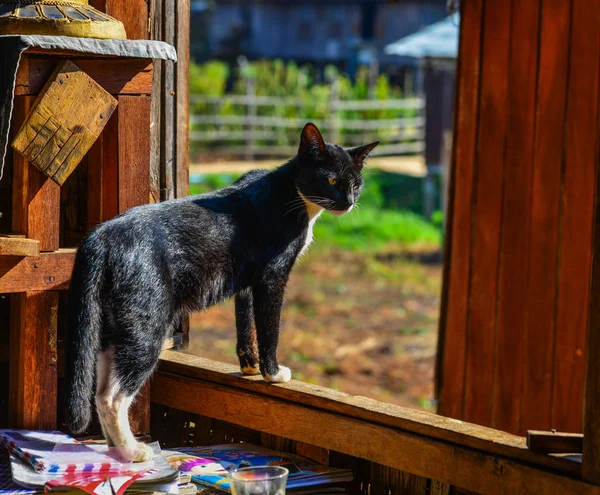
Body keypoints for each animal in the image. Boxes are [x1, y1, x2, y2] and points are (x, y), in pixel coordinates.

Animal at [65, 123, 376, 462]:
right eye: (331, 180)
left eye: (356, 184)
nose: (348, 201)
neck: (292, 195)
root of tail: (100, 237)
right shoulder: (272, 276)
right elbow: (269, 328)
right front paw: (273, 373)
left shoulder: (247, 282)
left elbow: (245, 324)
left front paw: (250, 368)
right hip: (145, 323)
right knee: (112, 396)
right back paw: (133, 451)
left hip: (114, 324)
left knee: (99, 389)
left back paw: (113, 448)